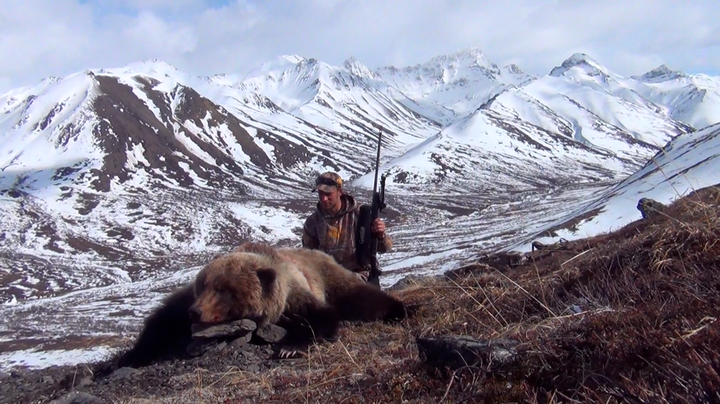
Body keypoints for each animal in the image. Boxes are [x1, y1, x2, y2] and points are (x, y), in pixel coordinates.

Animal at [112, 241, 404, 368]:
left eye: (223, 289)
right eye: (203, 285)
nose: (196, 311)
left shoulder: (292, 294)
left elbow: (321, 316)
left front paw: (289, 347)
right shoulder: (181, 305)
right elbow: (160, 324)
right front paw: (122, 360)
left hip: (330, 276)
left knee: (359, 296)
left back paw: (398, 310)